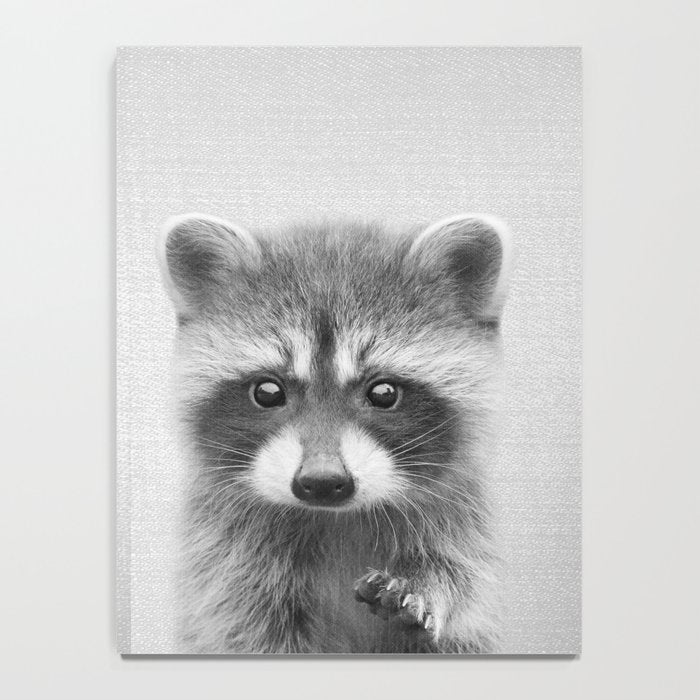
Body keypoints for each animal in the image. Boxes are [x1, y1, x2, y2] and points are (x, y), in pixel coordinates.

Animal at [157, 212, 511, 654]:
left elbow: (462, 580)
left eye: (383, 393)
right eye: (268, 392)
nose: (323, 481)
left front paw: (427, 588)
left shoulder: (462, 522)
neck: (336, 518)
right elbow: (242, 626)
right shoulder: (224, 558)